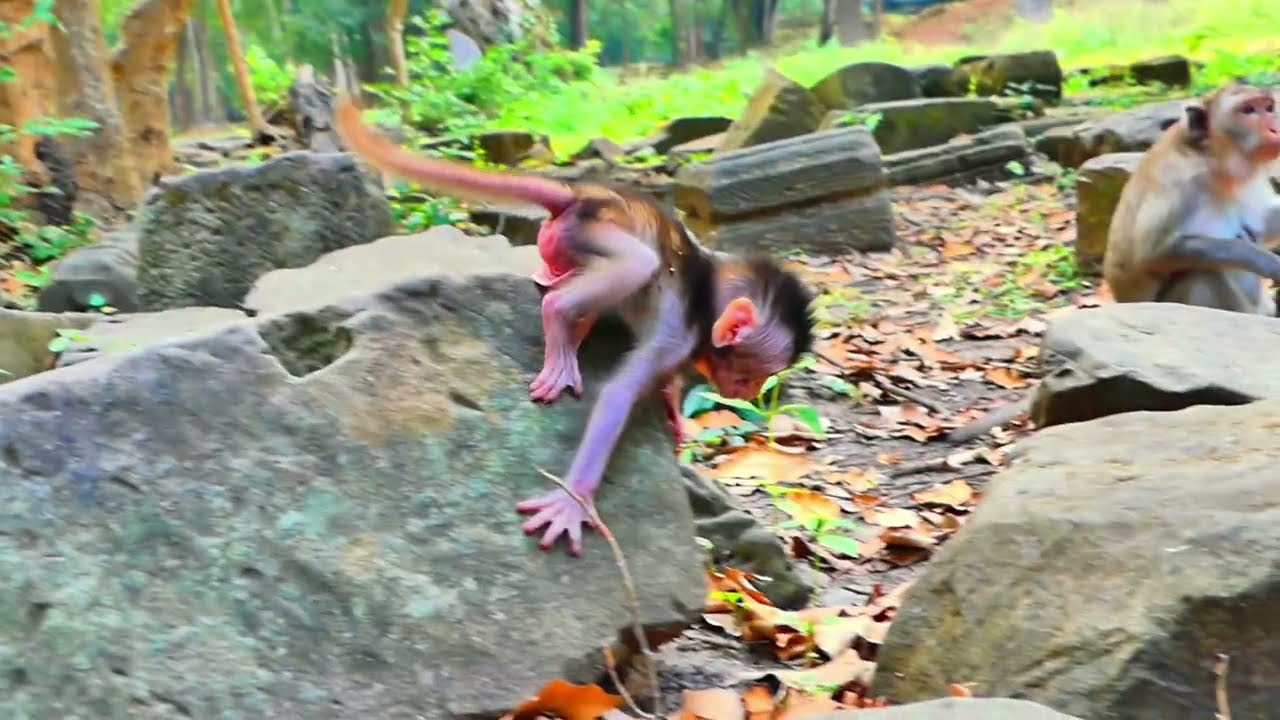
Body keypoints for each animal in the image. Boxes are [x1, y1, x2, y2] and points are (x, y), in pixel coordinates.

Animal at [333, 97, 815, 555]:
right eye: (752, 375)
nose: (751, 394)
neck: (704, 297)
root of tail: (585, 194)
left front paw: (672, 403)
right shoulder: (676, 335)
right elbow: (618, 395)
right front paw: (574, 501)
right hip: (589, 232)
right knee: (637, 264)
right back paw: (560, 319)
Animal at [948, 80, 1280, 444]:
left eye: (1268, 106)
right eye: (1248, 111)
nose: (1275, 126)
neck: (1217, 161)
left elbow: (1265, 224)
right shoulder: (1180, 184)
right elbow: (1159, 253)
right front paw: (1268, 262)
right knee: (1199, 274)